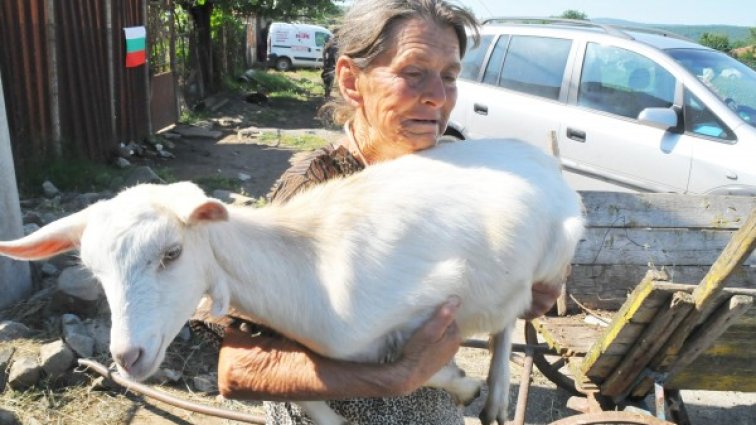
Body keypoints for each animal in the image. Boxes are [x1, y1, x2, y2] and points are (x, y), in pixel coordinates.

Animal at [0, 138, 584, 420]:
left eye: (171, 253)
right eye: (95, 272)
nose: (128, 356)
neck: (305, 269)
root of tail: (538, 154)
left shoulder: (432, 308)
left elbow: (414, 363)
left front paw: (464, 384)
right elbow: (315, 398)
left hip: (550, 261)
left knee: (510, 322)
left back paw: (496, 394)